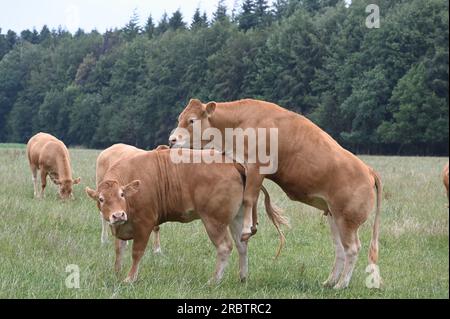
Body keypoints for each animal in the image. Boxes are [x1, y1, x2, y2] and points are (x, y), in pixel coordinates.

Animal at [85, 149, 288, 284]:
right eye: (101, 199)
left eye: (122, 194)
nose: (118, 214)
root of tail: (231, 162)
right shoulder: (121, 227)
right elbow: (119, 250)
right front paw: (117, 273)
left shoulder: (145, 224)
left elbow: (137, 252)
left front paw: (129, 278)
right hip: (236, 218)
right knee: (241, 245)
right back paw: (243, 277)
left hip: (214, 222)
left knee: (225, 247)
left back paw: (214, 280)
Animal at [169, 98, 384, 290]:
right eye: (179, 118)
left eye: (192, 120)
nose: (171, 140)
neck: (238, 123)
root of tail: (368, 170)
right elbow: (252, 199)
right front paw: (252, 226)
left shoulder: (256, 167)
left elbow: (249, 198)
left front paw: (247, 229)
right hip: (334, 217)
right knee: (340, 249)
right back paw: (330, 282)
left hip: (347, 220)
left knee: (352, 249)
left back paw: (341, 284)